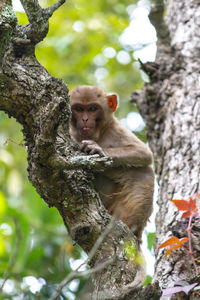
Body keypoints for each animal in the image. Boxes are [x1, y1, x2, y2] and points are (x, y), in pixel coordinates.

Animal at [69, 84, 154, 244]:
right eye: (78, 108)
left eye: (92, 108)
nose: (85, 119)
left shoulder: (115, 128)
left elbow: (144, 154)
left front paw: (98, 149)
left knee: (144, 173)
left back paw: (130, 225)